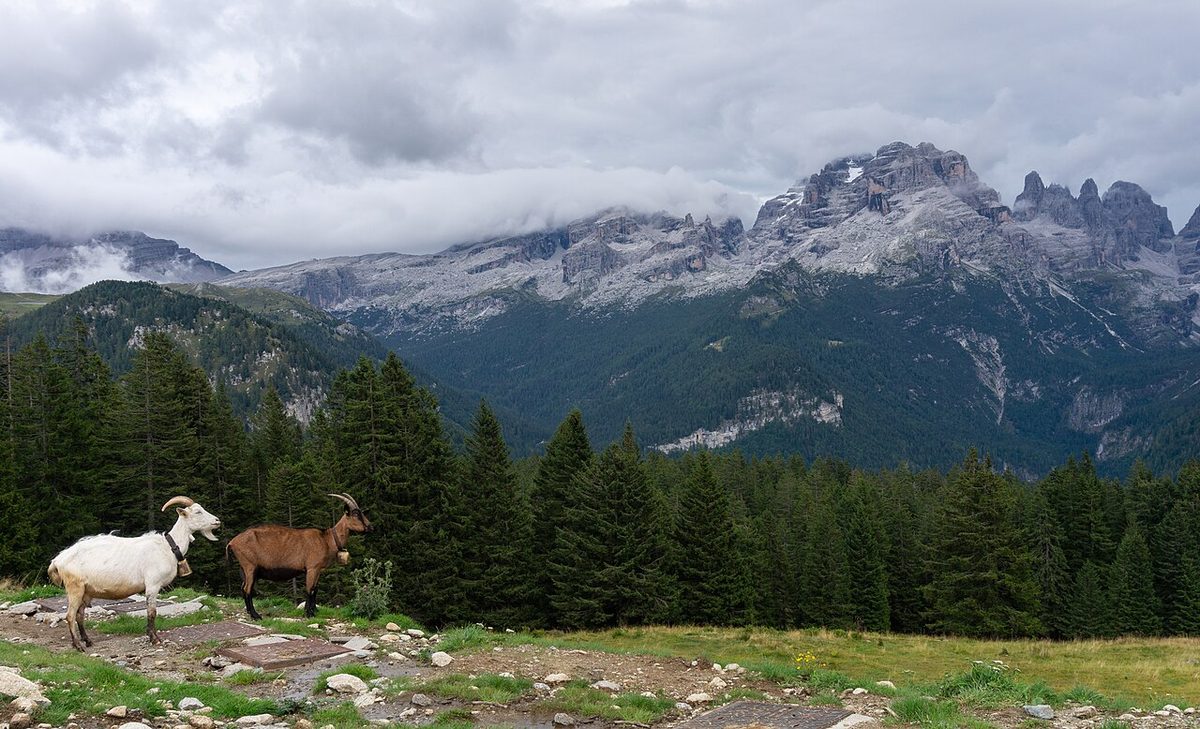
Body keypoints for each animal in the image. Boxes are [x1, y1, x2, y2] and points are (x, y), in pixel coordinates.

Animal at [48, 496, 221, 651]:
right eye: (198, 512)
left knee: (80, 614)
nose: (217, 521)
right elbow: (152, 612)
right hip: (74, 587)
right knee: (70, 615)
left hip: (87, 590)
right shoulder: (152, 584)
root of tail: (57, 560)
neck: (168, 547)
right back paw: (78, 645)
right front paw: (154, 639)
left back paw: (87, 641)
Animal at [226, 493, 372, 619]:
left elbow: (315, 589)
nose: (370, 527)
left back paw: (251, 613)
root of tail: (231, 542)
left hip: (245, 569)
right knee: (247, 590)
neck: (327, 539)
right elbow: (309, 590)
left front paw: (314, 611)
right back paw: (255, 615)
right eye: (356, 514)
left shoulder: (318, 569)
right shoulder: (312, 567)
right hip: (250, 566)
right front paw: (309, 613)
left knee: (243, 588)